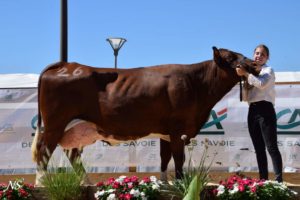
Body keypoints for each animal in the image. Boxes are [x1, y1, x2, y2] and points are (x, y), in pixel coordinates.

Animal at [31, 46, 258, 184]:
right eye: (230, 57)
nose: (254, 64)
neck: (196, 84)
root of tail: (67, 65)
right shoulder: (178, 130)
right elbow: (179, 159)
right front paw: (179, 183)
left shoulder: (166, 132)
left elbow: (165, 158)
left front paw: (165, 183)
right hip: (55, 123)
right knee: (44, 151)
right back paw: (42, 184)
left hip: (77, 128)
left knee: (72, 154)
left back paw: (86, 184)